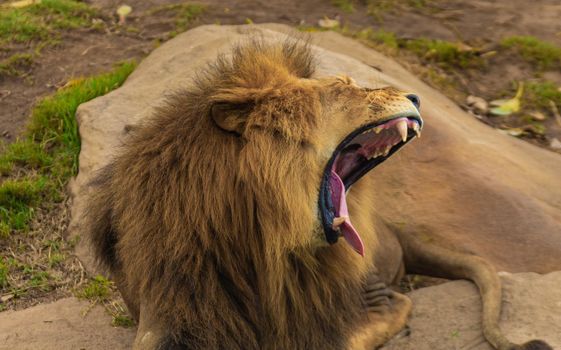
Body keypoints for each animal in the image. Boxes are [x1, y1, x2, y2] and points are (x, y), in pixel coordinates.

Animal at [84, 39, 552, 350]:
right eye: (343, 88)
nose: (416, 95)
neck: (259, 239)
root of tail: (391, 229)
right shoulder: (168, 311)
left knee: (394, 303)